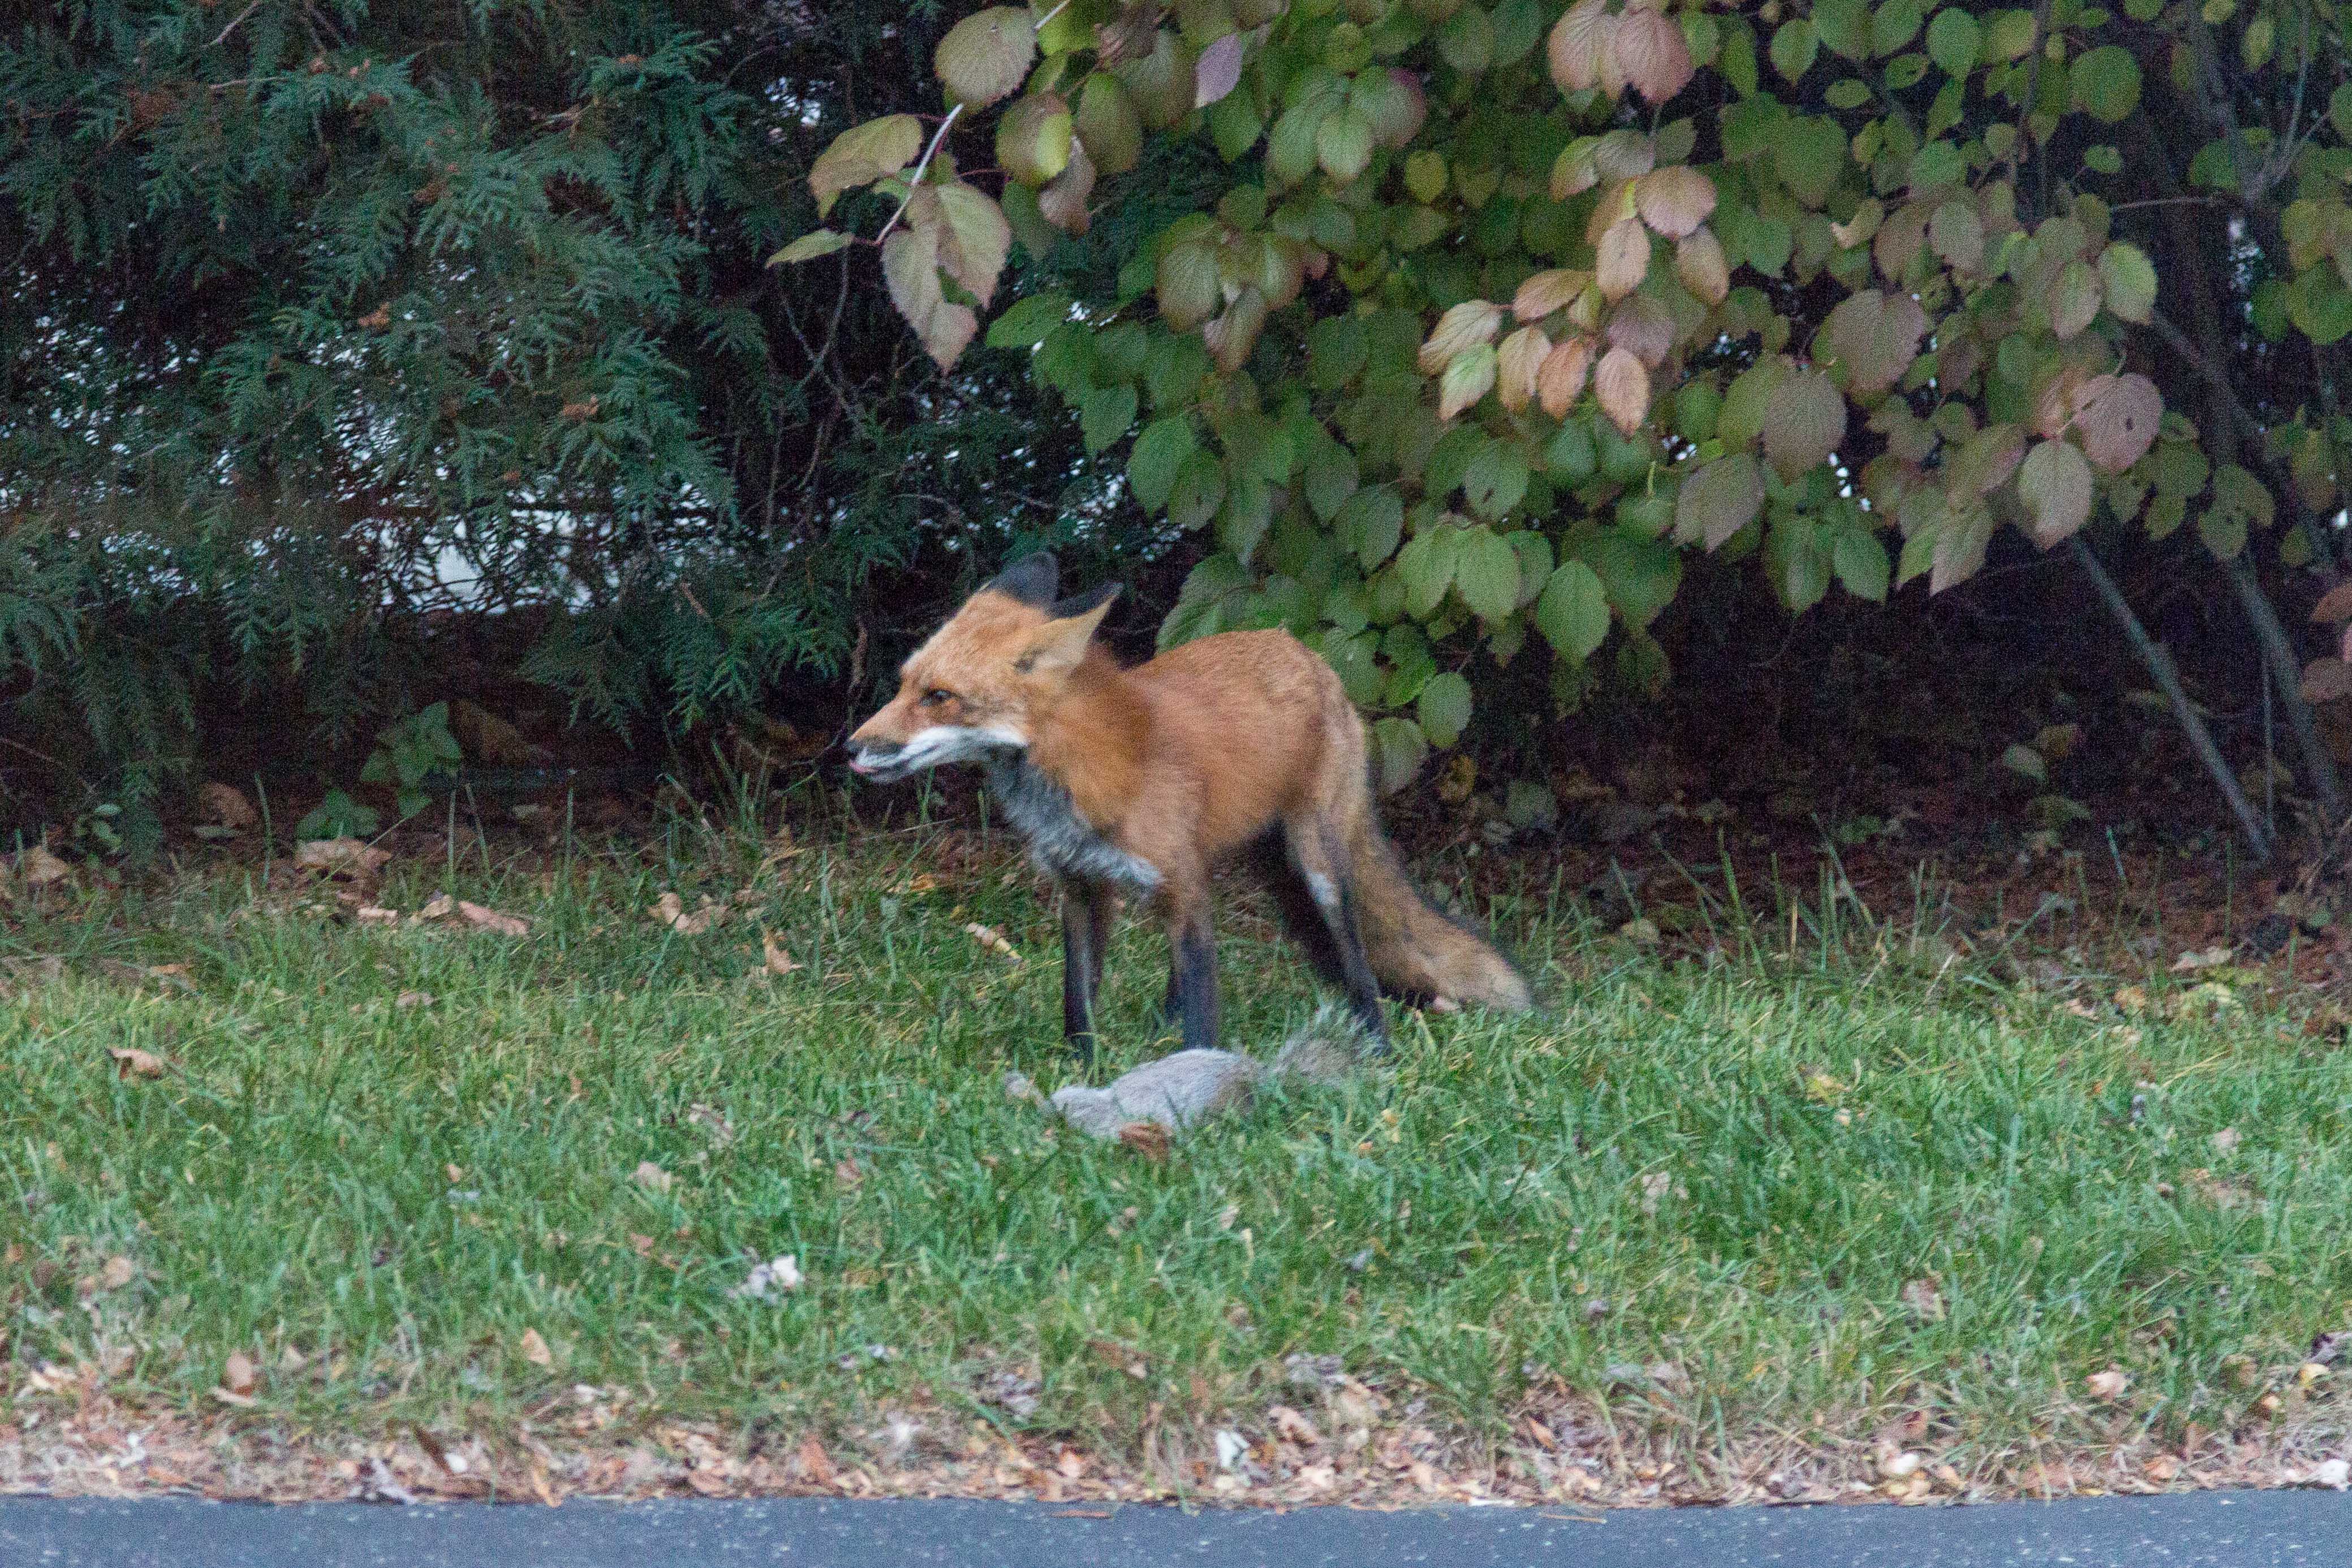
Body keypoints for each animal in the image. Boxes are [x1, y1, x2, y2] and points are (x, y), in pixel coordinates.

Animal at [856, 557, 1533, 1062]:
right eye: (904, 684)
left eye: (939, 697)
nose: (851, 747)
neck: (1078, 772)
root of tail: (1303, 650)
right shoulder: (1082, 888)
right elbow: (1078, 1002)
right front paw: (1080, 1072)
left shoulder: (1182, 889)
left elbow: (1204, 1011)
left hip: (1315, 863)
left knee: (1358, 963)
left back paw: (1377, 1046)